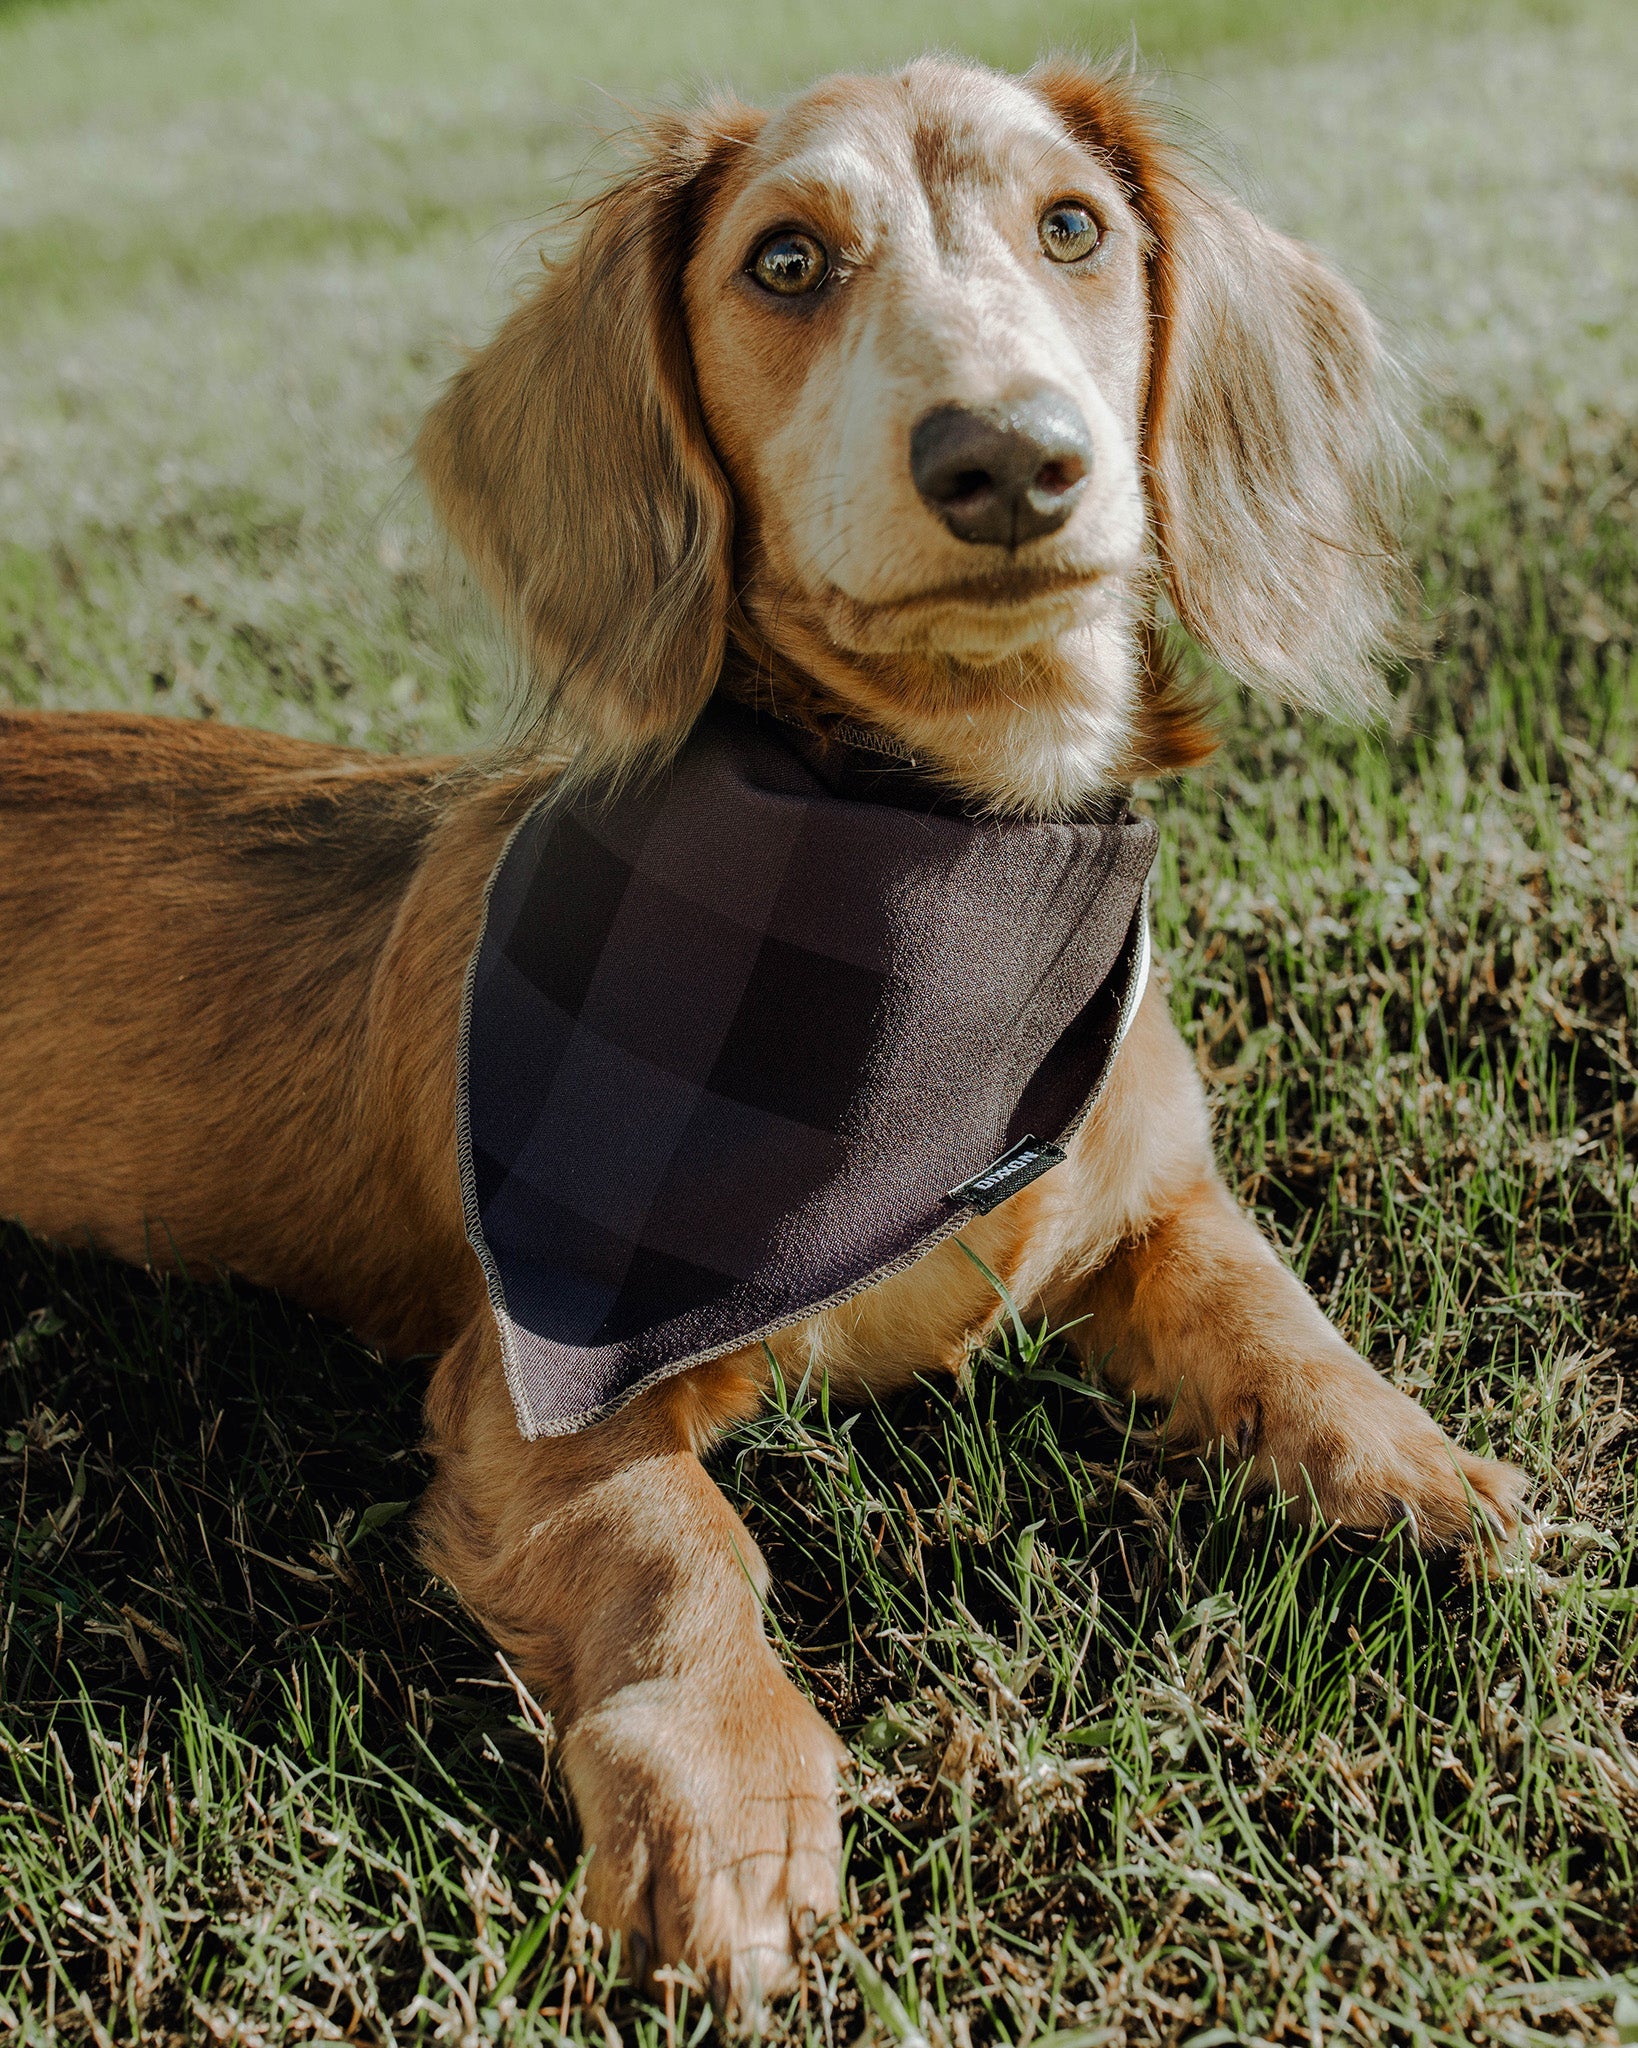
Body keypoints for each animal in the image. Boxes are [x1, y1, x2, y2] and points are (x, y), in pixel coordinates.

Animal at [0, 51, 1523, 2015]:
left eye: (1075, 226)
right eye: (784, 260)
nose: (1008, 455)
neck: (944, 858)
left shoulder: (1163, 1205)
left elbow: (1284, 1324)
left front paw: (1418, 1471)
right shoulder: (534, 1385)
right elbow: (680, 1554)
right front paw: (729, 1801)